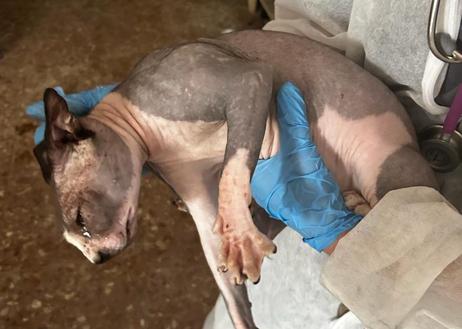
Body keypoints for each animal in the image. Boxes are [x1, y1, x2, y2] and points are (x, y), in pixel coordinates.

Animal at [33, 29, 436, 326]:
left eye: (81, 221)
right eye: (76, 241)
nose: (98, 259)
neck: (145, 134)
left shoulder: (246, 79)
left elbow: (233, 168)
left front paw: (241, 238)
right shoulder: (195, 191)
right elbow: (224, 279)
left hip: (392, 168)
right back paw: (348, 205)